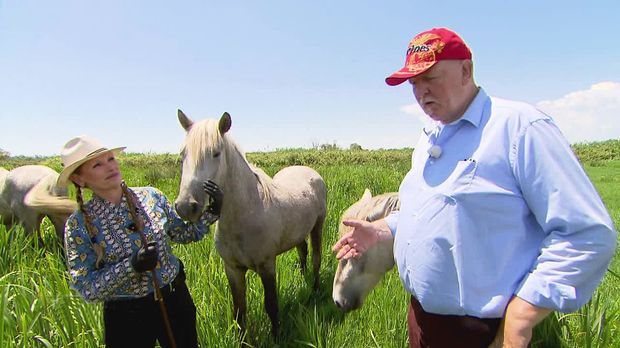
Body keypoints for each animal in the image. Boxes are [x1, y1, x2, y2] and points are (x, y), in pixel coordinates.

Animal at [173, 110, 326, 336]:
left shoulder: (267, 266)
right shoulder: (233, 269)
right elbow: (239, 311)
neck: (245, 214)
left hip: (318, 227)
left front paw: (277, 337)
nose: (185, 206)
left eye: (216, 153)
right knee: (302, 252)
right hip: (299, 233)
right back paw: (303, 277)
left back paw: (314, 289)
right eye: (183, 154)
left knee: (316, 257)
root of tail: (309, 171)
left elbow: (271, 305)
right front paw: (243, 339)